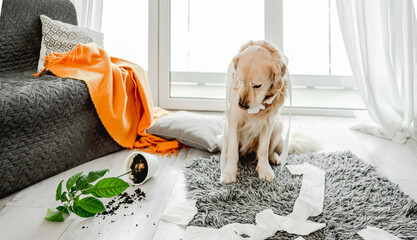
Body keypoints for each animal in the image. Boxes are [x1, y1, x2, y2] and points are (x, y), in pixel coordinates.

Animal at [219, 40, 320, 183]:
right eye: (240, 80)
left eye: (257, 85)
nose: (242, 105)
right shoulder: (233, 120)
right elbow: (233, 150)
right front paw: (229, 172)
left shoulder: (269, 122)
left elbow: (263, 150)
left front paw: (264, 169)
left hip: (278, 126)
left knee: (270, 149)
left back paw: (274, 157)